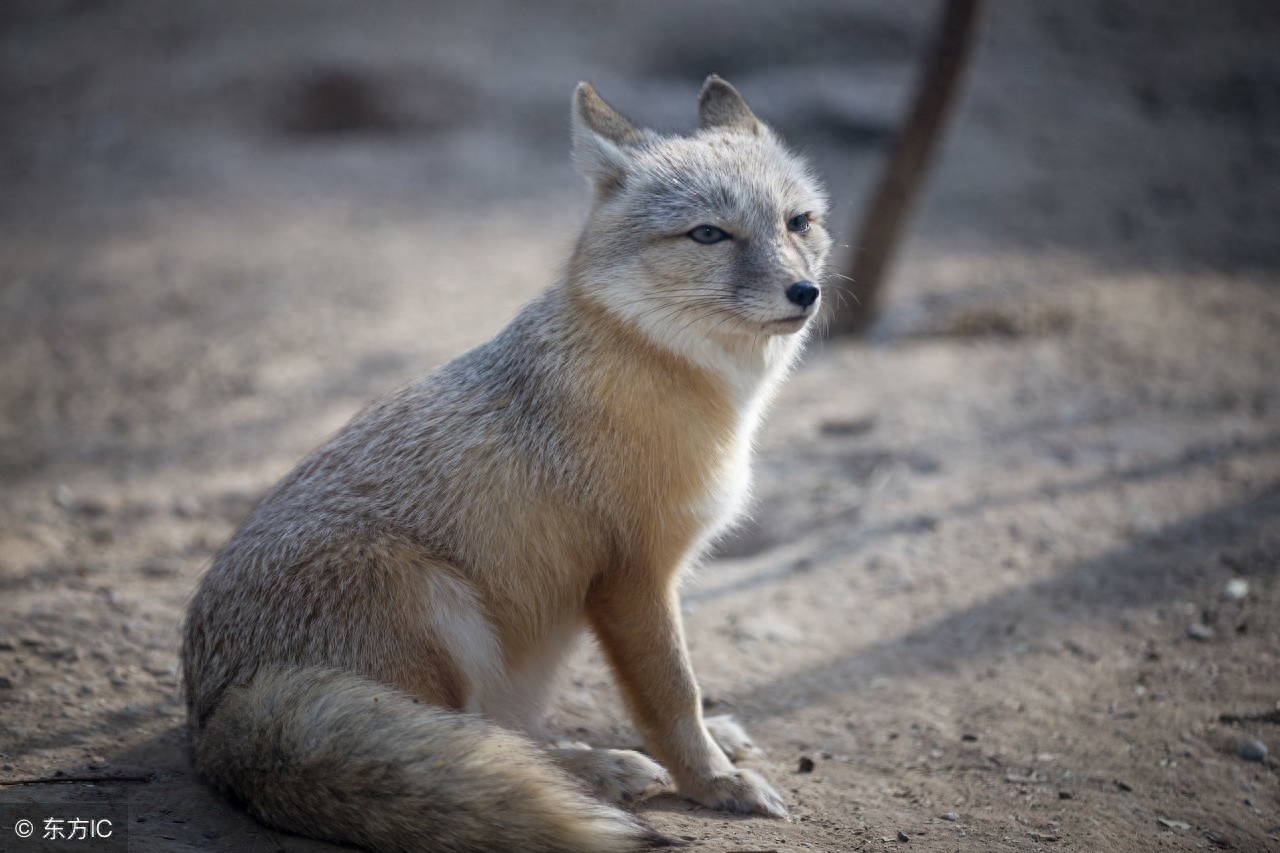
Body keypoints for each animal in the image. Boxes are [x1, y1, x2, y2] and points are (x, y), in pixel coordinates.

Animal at [185, 74, 834, 850]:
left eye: (799, 223)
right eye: (709, 233)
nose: (806, 292)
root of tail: (214, 720)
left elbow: (681, 690)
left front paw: (713, 746)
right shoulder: (632, 575)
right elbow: (672, 691)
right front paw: (711, 781)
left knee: (493, 735)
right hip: (435, 600)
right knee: (471, 738)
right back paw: (599, 768)